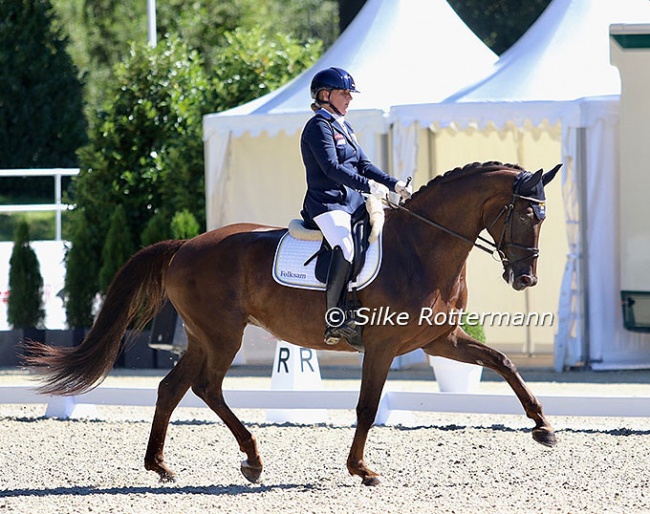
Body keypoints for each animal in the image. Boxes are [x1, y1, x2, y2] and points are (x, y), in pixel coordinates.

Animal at [25, 160, 560, 484]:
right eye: (523, 215)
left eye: (543, 218)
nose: (525, 277)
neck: (421, 248)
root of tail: (185, 246)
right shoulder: (384, 347)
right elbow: (367, 408)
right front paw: (361, 469)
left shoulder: (440, 339)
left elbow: (504, 362)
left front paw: (543, 427)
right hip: (223, 335)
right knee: (206, 388)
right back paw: (252, 459)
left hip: (203, 337)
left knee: (172, 388)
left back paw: (161, 465)